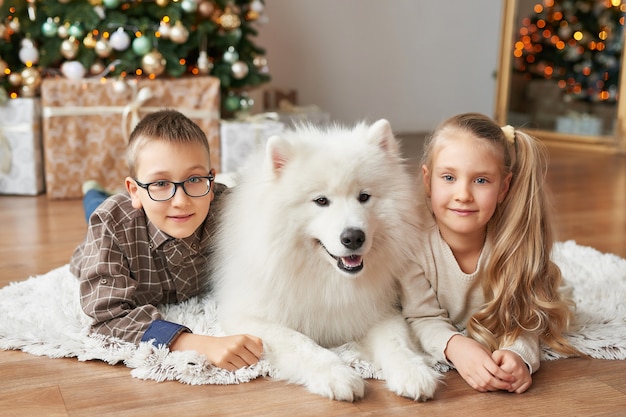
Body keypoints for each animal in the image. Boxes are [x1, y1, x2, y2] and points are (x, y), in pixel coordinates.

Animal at [212, 119, 442, 400]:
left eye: (364, 197)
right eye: (321, 201)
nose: (353, 237)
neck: (328, 277)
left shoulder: (380, 309)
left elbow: (396, 343)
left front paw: (412, 372)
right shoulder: (248, 317)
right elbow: (301, 343)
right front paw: (338, 375)